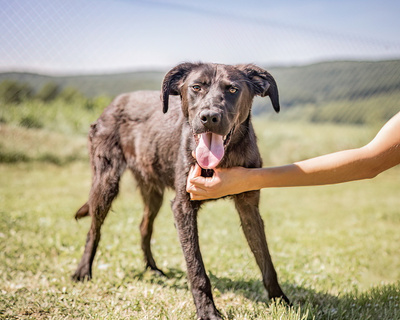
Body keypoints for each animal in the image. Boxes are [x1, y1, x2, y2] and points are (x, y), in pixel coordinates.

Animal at [73, 63, 290, 320]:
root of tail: (113, 103)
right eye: (196, 87)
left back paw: (152, 269)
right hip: (106, 183)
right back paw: (83, 271)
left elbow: (265, 259)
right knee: (93, 230)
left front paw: (280, 300)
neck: (221, 162)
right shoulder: (183, 207)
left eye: (233, 89)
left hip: (152, 191)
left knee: (144, 227)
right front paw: (207, 311)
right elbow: (196, 268)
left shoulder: (249, 208)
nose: (209, 117)